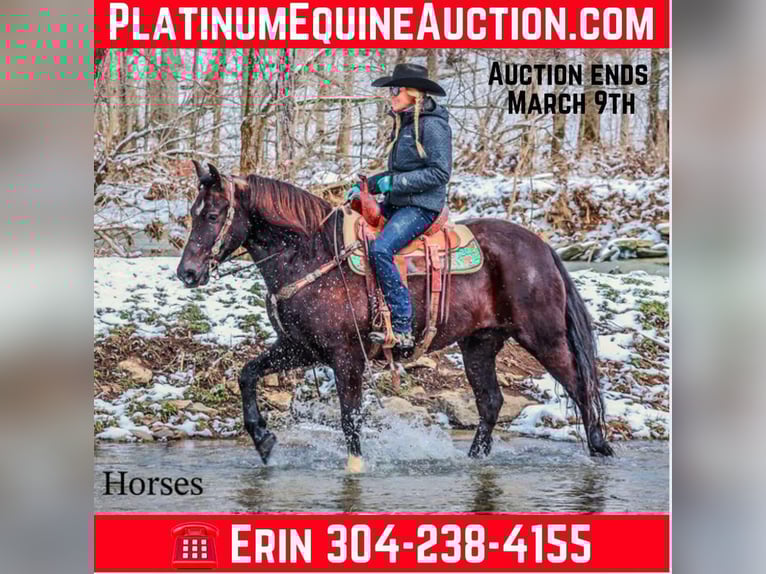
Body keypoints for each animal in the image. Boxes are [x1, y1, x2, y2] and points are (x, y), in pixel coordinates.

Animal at [177, 161, 614, 472]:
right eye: (194, 213)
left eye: (212, 216)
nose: (187, 273)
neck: (312, 254)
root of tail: (542, 248)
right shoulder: (300, 348)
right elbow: (247, 373)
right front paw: (263, 440)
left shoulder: (346, 356)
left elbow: (349, 416)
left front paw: (355, 466)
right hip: (479, 343)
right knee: (490, 402)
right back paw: (475, 459)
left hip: (545, 337)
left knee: (581, 388)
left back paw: (601, 449)